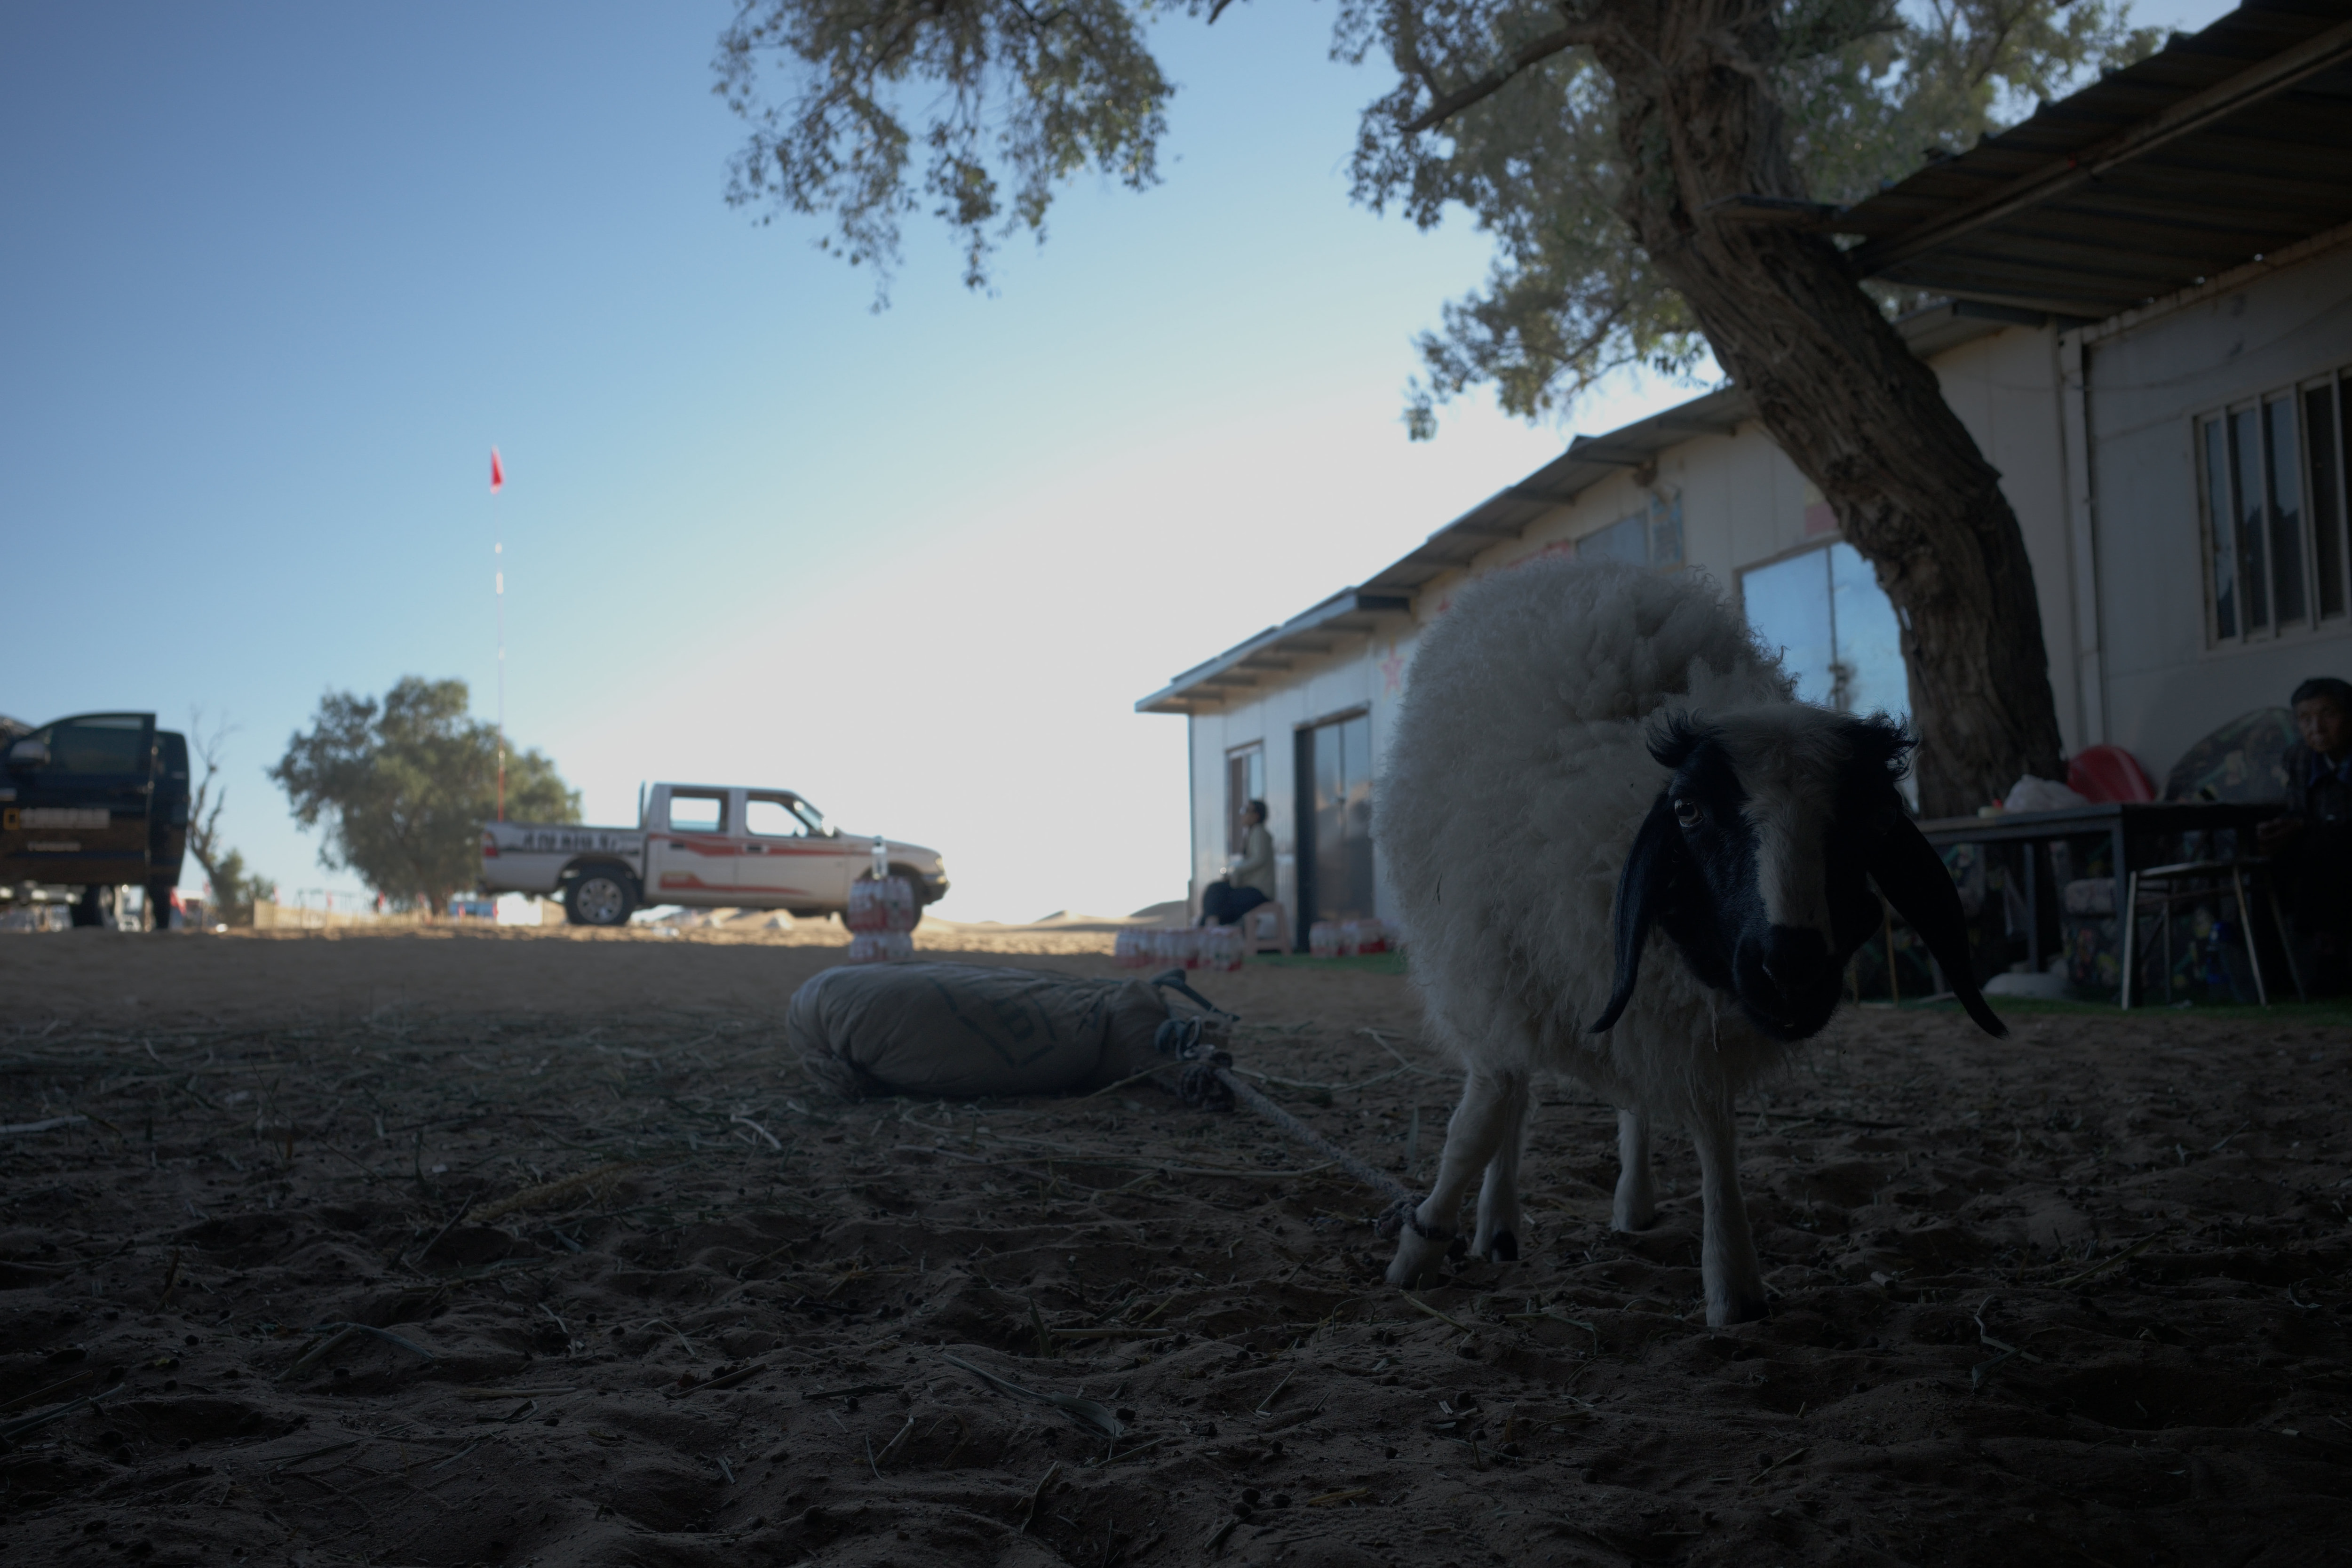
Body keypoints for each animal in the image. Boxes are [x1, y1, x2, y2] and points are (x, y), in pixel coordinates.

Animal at [1376, 557, 2002, 1325]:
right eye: (1688, 809)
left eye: (1878, 816)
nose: (1790, 967)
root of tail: (1556, 565)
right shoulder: (1498, 969)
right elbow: (1482, 1116)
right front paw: (1418, 1248)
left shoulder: (1681, 1007)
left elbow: (1711, 1126)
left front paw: (1733, 1281)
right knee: (1514, 1094)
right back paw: (1496, 1221)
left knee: (1625, 1094)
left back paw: (1622, 1203)